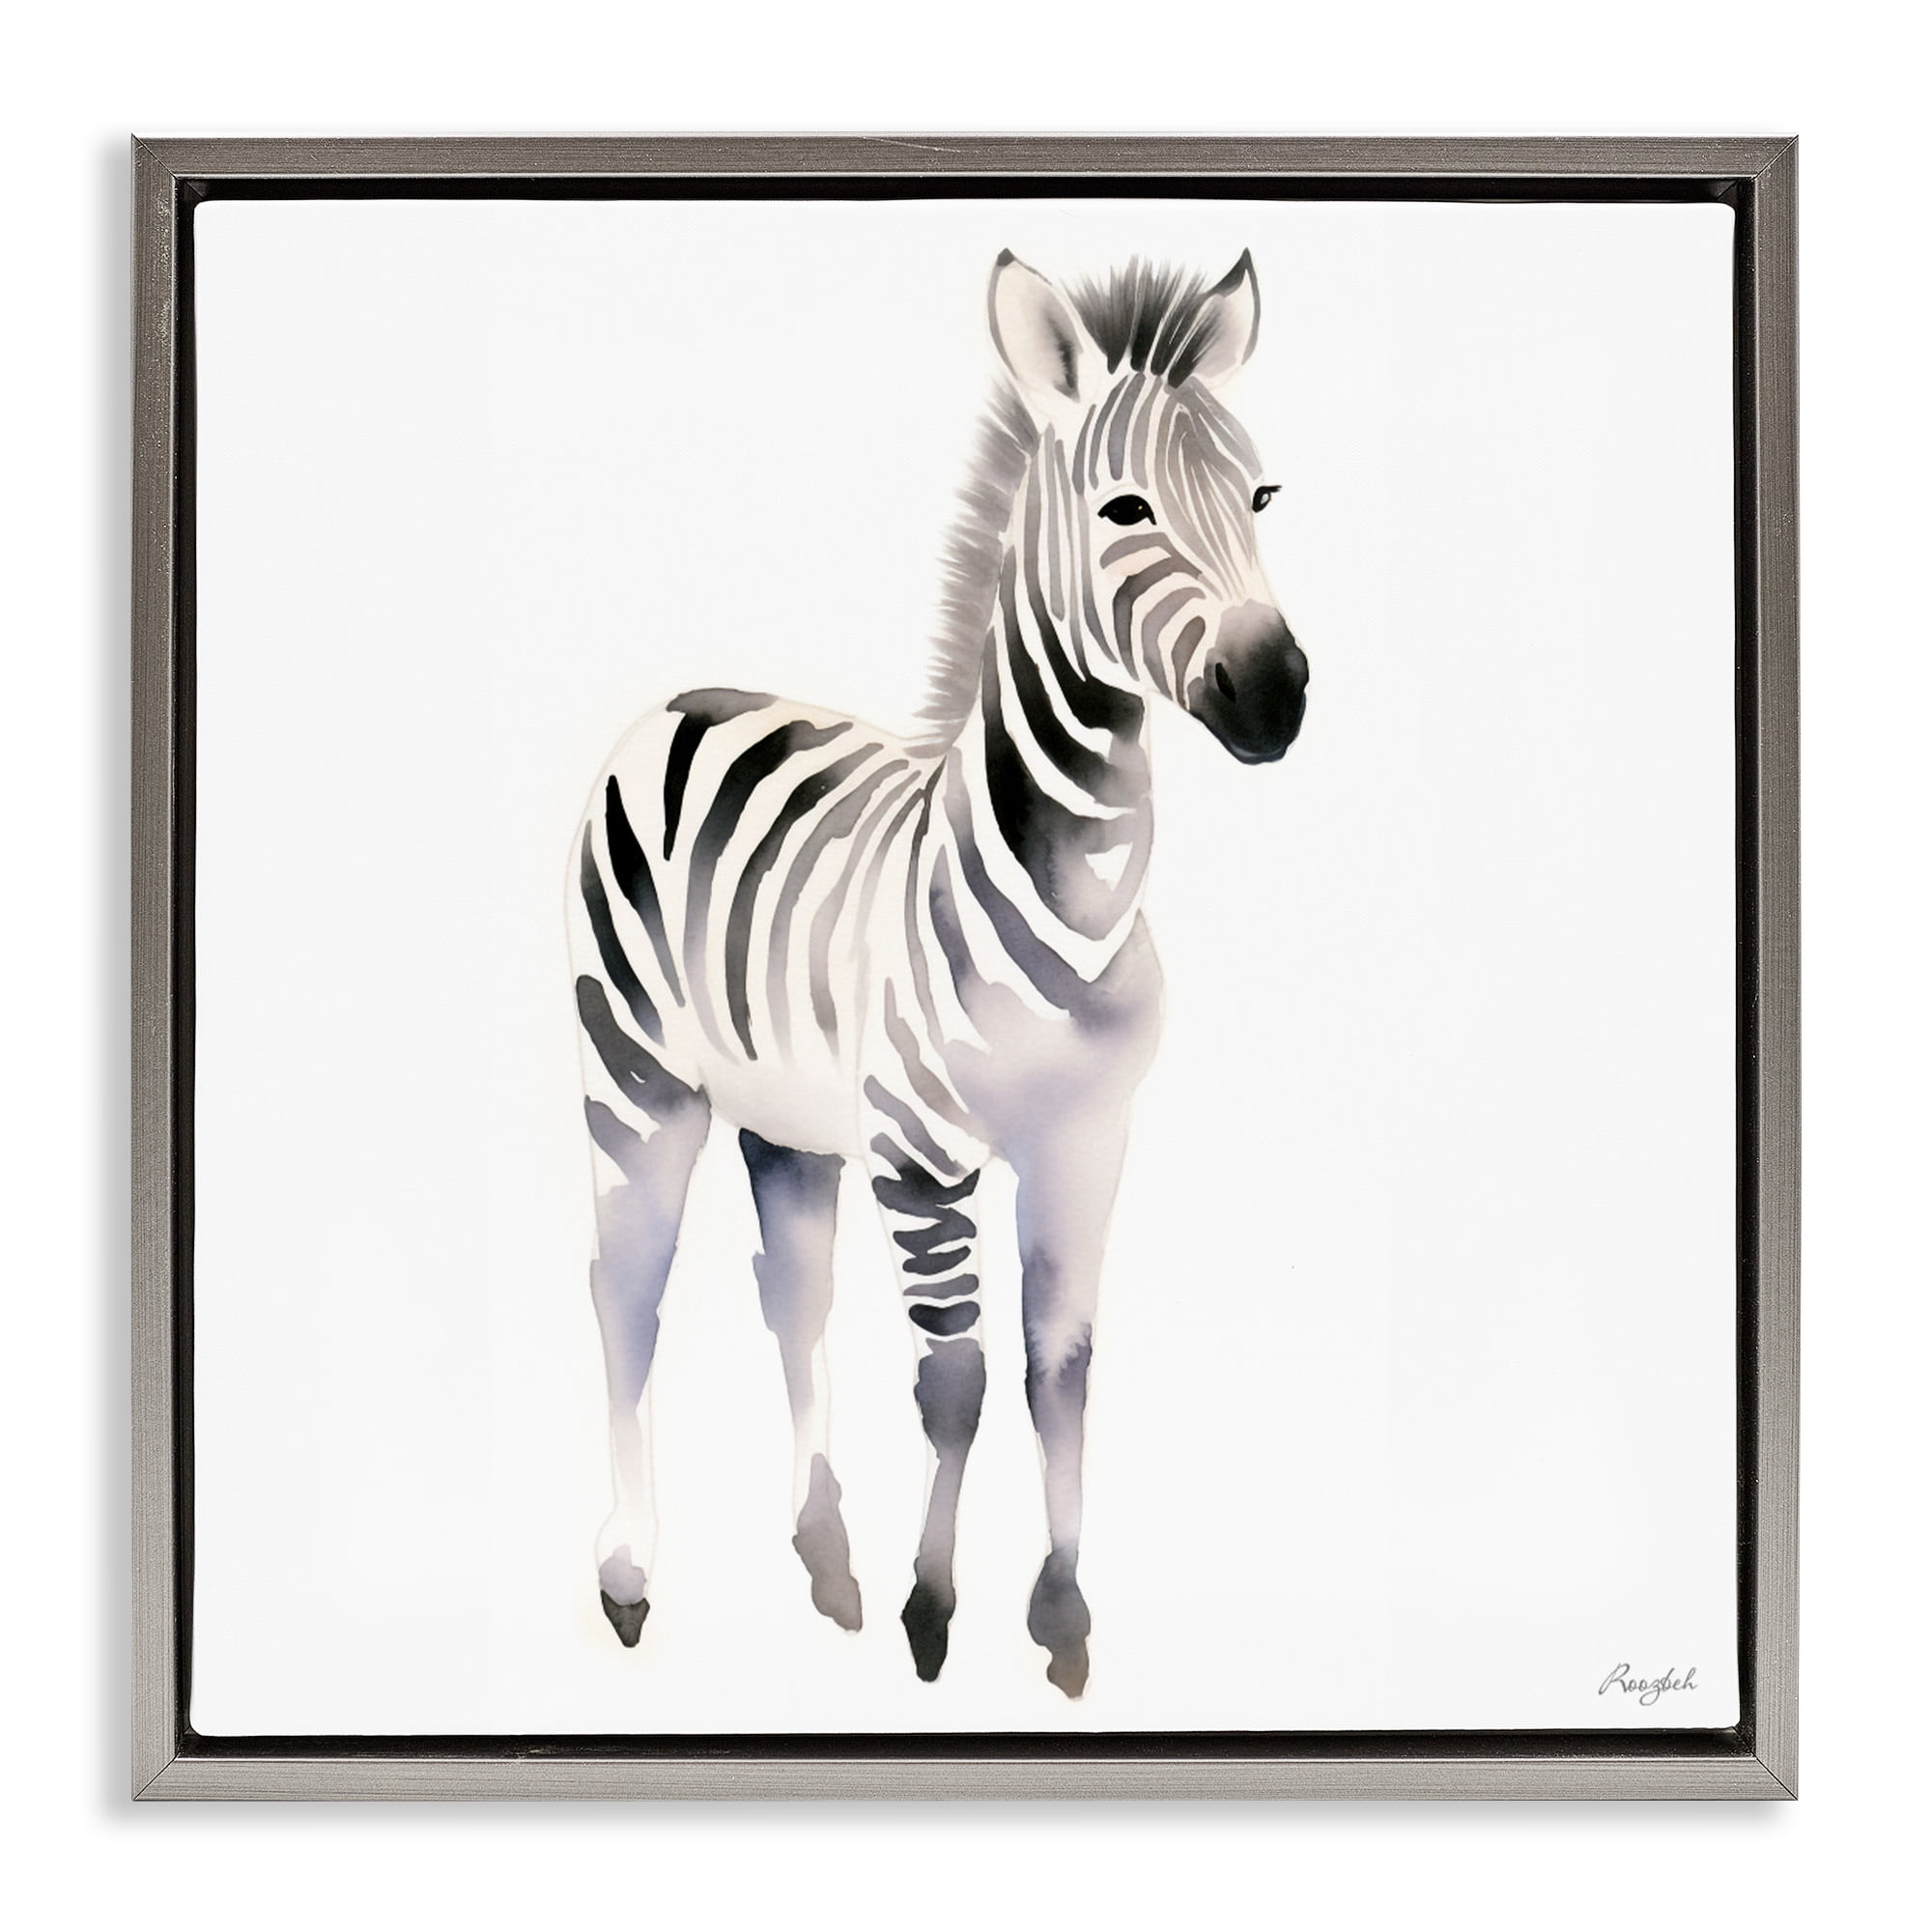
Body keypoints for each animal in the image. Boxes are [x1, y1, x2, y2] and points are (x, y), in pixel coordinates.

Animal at [568, 248, 1309, 1698]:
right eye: (1123, 506)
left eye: (1261, 495)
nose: (1274, 692)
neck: (1075, 904)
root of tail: (684, 694)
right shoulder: (922, 1156)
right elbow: (954, 1381)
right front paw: (932, 1609)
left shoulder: (1087, 1143)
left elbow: (1058, 1368)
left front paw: (1062, 1614)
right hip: (636, 1079)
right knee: (626, 1288)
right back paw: (629, 1578)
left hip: (788, 1114)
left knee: (790, 1292)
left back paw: (822, 1554)